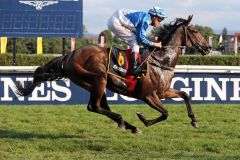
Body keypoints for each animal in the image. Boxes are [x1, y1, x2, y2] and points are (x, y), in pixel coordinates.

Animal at [14, 15, 210, 134]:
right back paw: (123, 122)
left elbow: (185, 94)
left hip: (97, 84)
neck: (161, 60)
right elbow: (166, 113)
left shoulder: (163, 91)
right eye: (194, 31)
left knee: (101, 106)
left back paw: (130, 126)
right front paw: (143, 118)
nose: (208, 47)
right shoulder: (148, 95)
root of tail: (69, 55)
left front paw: (194, 120)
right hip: (97, 79)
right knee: (93, 107)